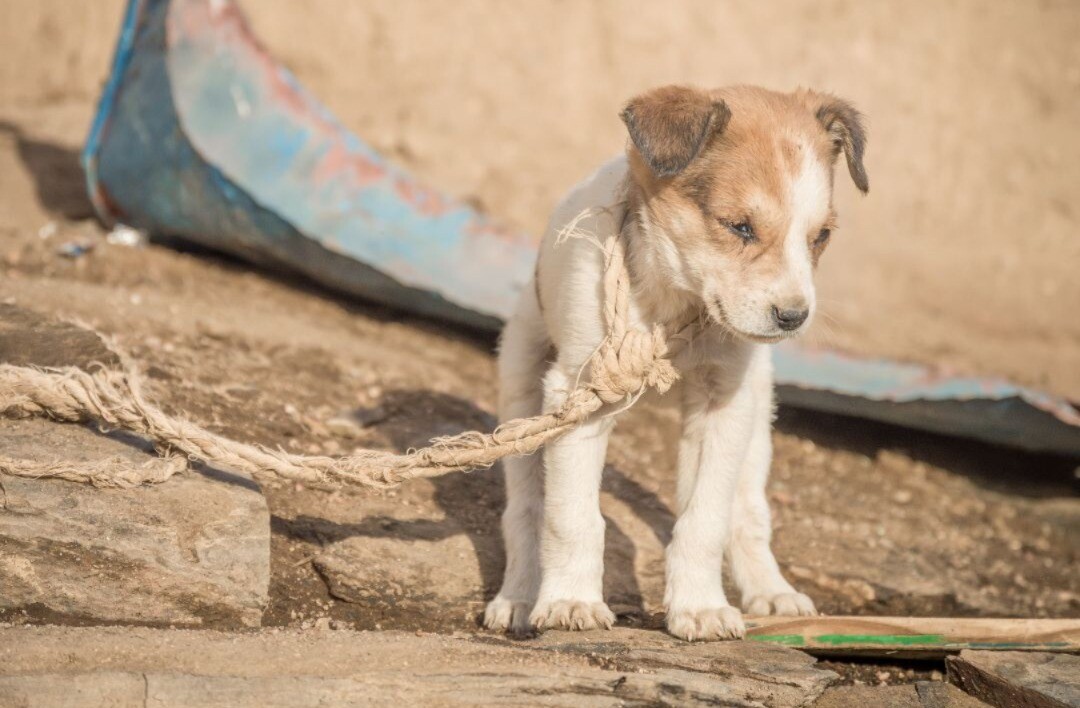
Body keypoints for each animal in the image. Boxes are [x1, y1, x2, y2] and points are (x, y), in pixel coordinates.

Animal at [486, 84, 864, 643]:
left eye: (821, 237)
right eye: (739, 227)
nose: (793, 317)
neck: (675, 301)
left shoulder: (723, 402)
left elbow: (704, 521)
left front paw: (700, 607)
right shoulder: (578, 393)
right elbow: (571, 517)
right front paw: (571, 601)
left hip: (757, 416)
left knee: (747, 512)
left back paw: (771, 591)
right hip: (522, 390)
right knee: (527, 508)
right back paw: (517, 596)